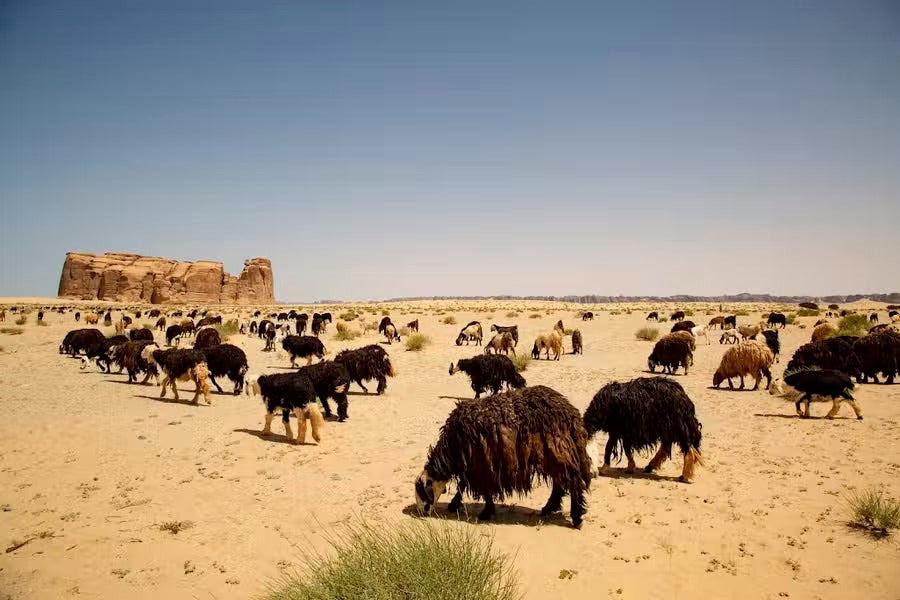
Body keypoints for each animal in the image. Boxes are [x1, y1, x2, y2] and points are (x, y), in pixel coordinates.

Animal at [414, 386, 592, 528]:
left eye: (422, 493)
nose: (422, 513)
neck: (452, 448)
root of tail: (571, 414)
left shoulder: (479, 465)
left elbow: (480, 490)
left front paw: (485, 512)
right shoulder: (472, 466)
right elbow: (463, 486)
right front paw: (454, 504)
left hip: (559, 452)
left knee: (572, 483)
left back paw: (576, 517)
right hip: (558, 455)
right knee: (560, 483)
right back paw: (548, 509)